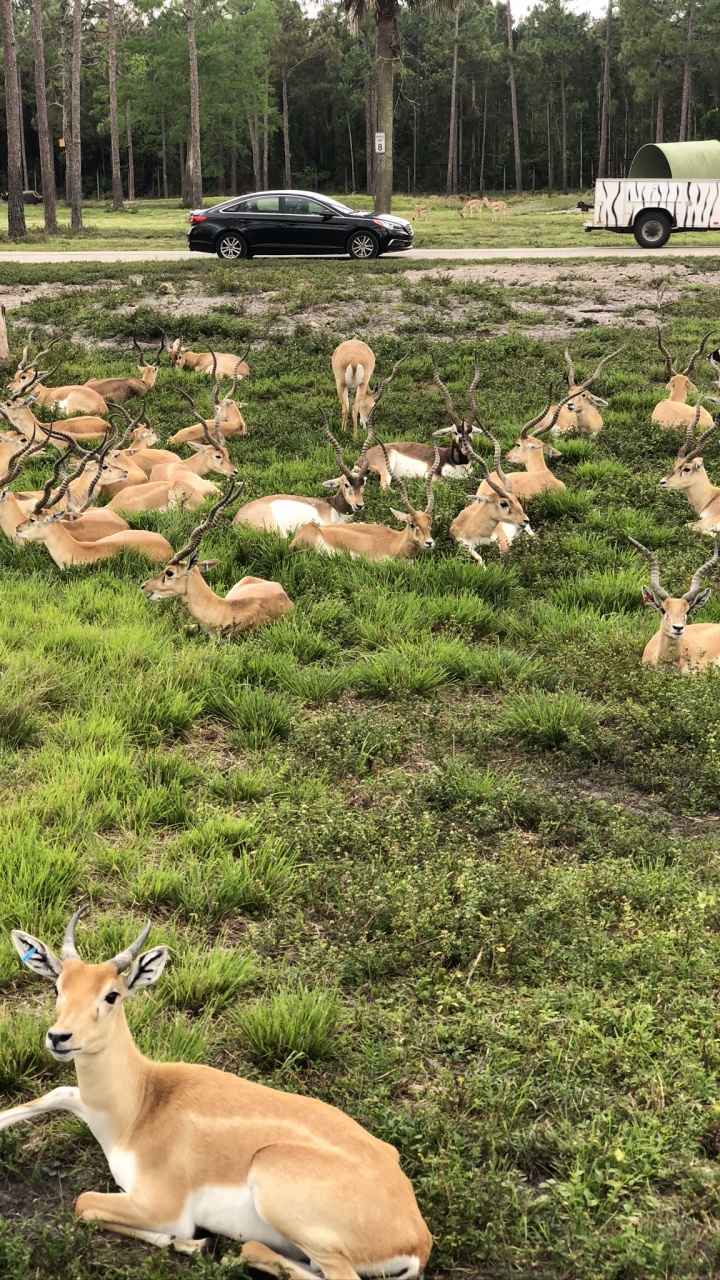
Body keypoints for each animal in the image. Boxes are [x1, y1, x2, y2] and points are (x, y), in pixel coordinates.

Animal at [3, 908, 430, 1275]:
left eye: (112, 994)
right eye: (58, 987)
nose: (59, 1037)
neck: (140, 1108)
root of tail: (417, 1238)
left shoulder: (163, 1206)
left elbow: (84, 1202)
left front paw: (193, 1243)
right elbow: (59, 1092)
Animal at [359, 357, 483, 487]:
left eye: (471, 431)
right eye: (455, 432)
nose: (467, 450)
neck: (456, 464)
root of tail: (362, 457)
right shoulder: (433, 477)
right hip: (387, 468)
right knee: (384, 486)